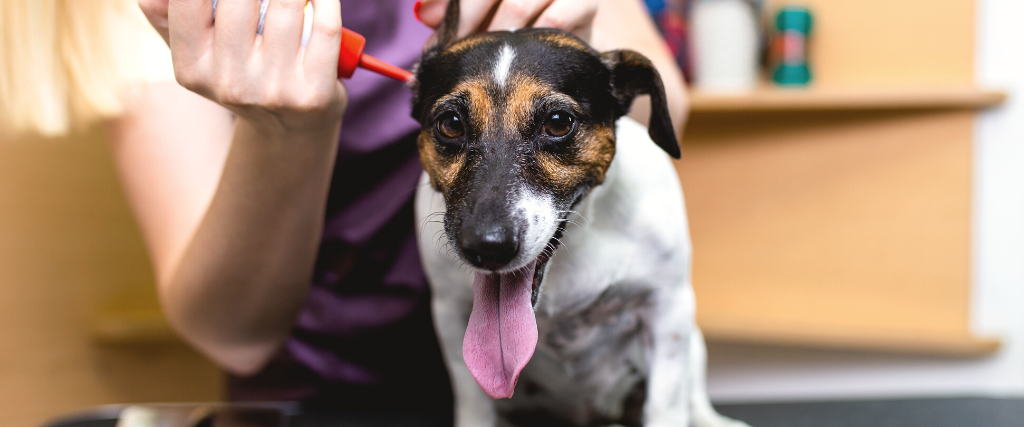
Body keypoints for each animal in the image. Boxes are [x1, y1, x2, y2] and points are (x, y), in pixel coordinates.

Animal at [409, 3, 753, 425]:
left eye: (558, 122)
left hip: (692, 341)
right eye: (451, 124)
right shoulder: (450, 314)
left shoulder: (668, 310)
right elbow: (474, 402)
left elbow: (667, 403)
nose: (487, 246)